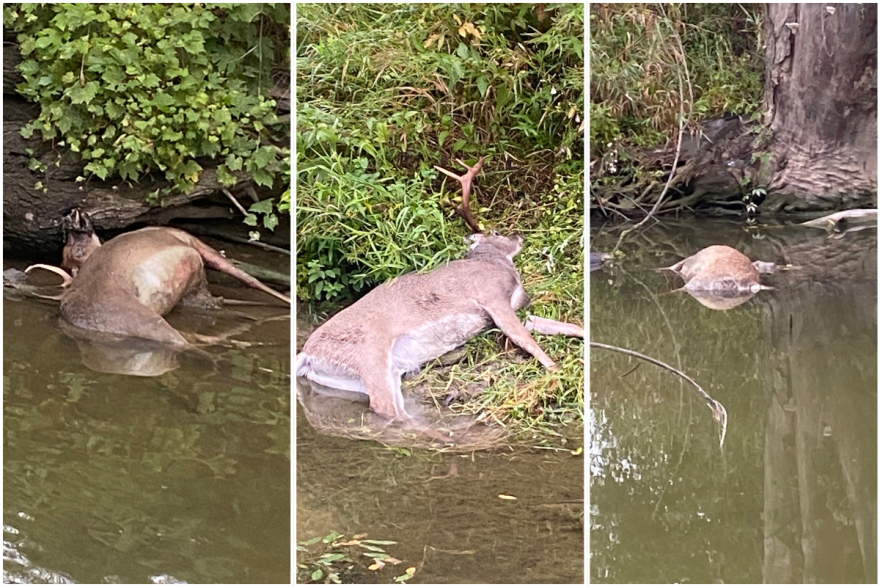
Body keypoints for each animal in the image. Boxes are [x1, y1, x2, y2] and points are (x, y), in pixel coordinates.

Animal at [296, 158, 581, 420]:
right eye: (498, 231)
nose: (521, 236)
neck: (494, 264)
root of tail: (306, 354)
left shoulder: (515, 307)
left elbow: (554, 325)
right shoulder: (490, 295)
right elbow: (526, 339)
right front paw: (558, 372)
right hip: (370, 355)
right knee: (385, 407)